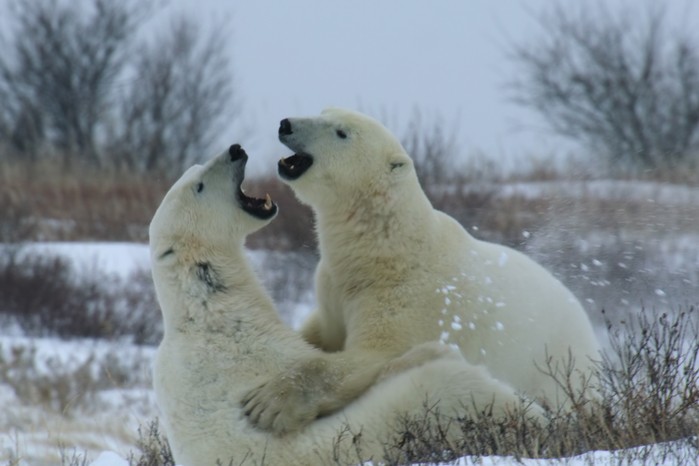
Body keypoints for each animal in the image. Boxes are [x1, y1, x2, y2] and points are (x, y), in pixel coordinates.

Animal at [149, 144, 536, 464]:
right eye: (199, 185)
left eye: (196, 168)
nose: (235, 150)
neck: (207, 307)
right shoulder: (248, 350)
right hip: (406, 417)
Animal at [242, 108, 600, 434]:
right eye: (322, 111)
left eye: (341, 132)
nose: (286, 124)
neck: (384, 247)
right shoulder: (334, 286)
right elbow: (321, 331)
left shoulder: (409, 297)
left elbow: (372, 355)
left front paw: (268, 403)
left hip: (557, 362)